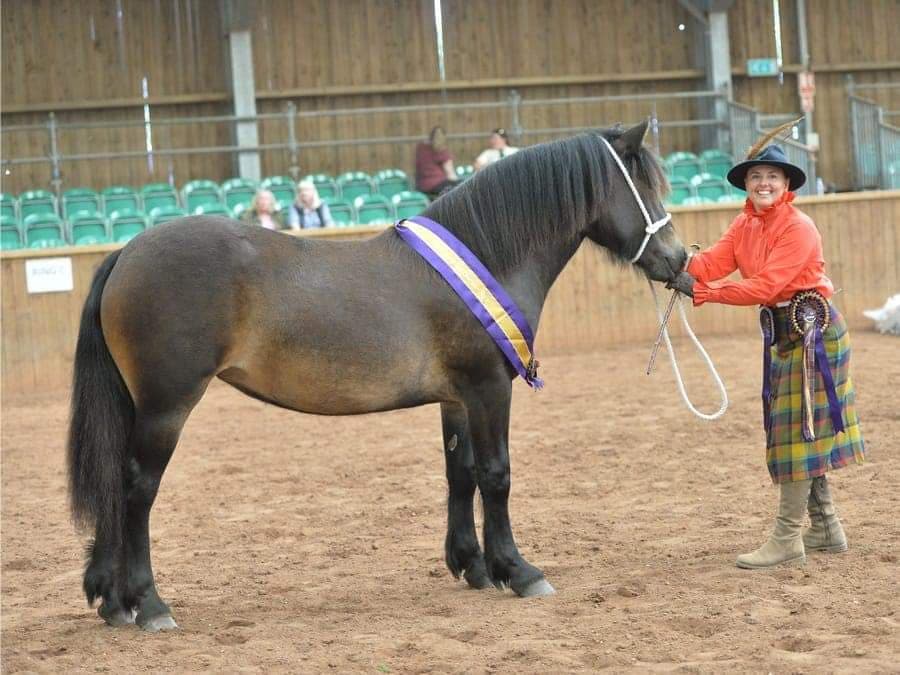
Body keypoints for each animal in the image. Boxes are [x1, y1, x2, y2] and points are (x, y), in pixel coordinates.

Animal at [67, 120, 686, 631]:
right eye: (645, 187)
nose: (679, 260)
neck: (487, 253)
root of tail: (125, 252)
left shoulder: (457, 398)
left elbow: (460, 473)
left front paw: (473, 566)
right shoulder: (488, 388)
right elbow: (496, 475)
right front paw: (518, 570)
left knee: (113, 484)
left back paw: (114, 603)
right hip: (166, 407)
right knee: (136, 489)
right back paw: (149, 604)